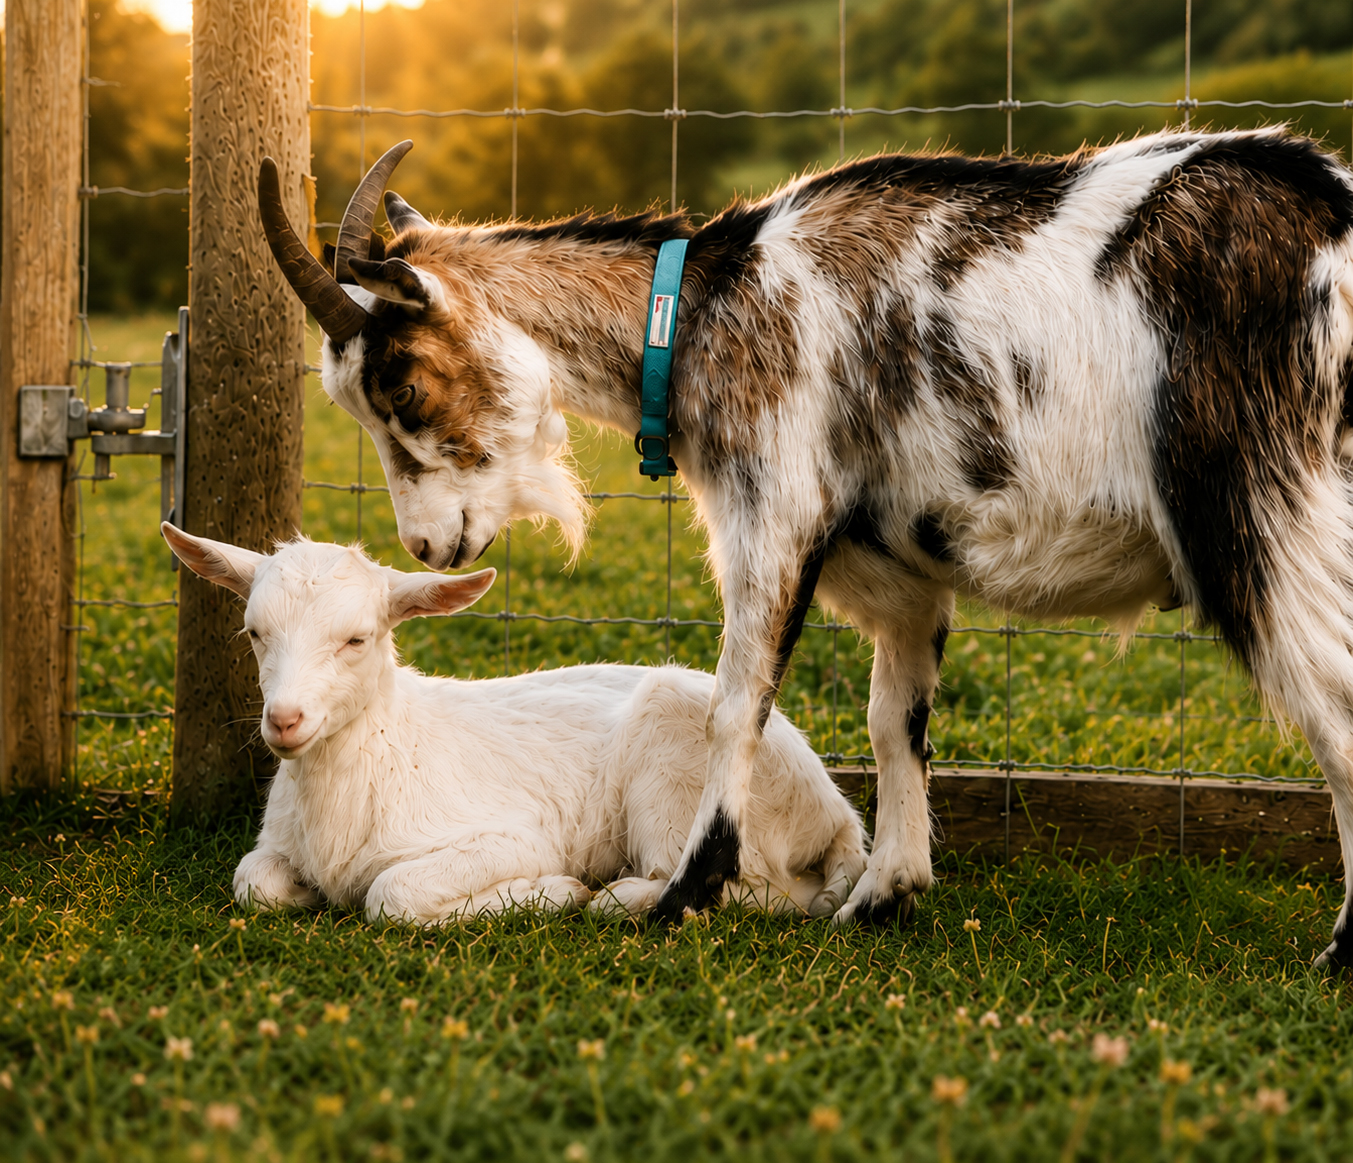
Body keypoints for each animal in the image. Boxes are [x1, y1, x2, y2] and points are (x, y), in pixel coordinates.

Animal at [160, 523, 866, 924]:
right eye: (255, 632)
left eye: (357, 639)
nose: (285, 721)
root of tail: (837, 814)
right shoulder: (276, 846)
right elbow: (252, 882)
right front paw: (305, 895)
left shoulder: (515, 836)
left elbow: (392, 897)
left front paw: (553, 891)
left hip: (684, 780)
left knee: (752, 891)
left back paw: (610, 898)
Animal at [260, 127, 1353, 965]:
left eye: (401, 383)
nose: (426, 544)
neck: (699, 310)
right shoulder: (902, 574)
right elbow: (891, 720)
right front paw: (884, 894)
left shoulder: (774, 508)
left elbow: (734, 705)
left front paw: (686, 892)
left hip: (1268, 513)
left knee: (1333, 707)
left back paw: (1341, 951)